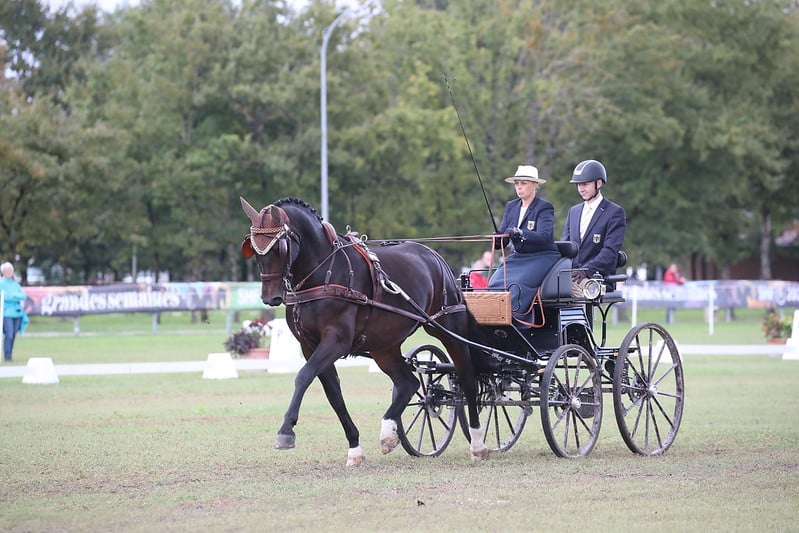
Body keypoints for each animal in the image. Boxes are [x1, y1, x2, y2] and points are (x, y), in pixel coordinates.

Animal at [238, 197, 488, 464]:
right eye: (254, 248)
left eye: (279, 248)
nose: (270, 297)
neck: (323, 273)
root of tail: (434, 256)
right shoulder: (309, 346)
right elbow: (333, 394)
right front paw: (355, 448)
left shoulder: (336, 341)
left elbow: (303, 376)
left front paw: (286, 431)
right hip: (384, 345)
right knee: (408, 383)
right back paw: (389, 432)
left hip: (448, 328)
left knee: (467, 379)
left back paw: (478, 443)